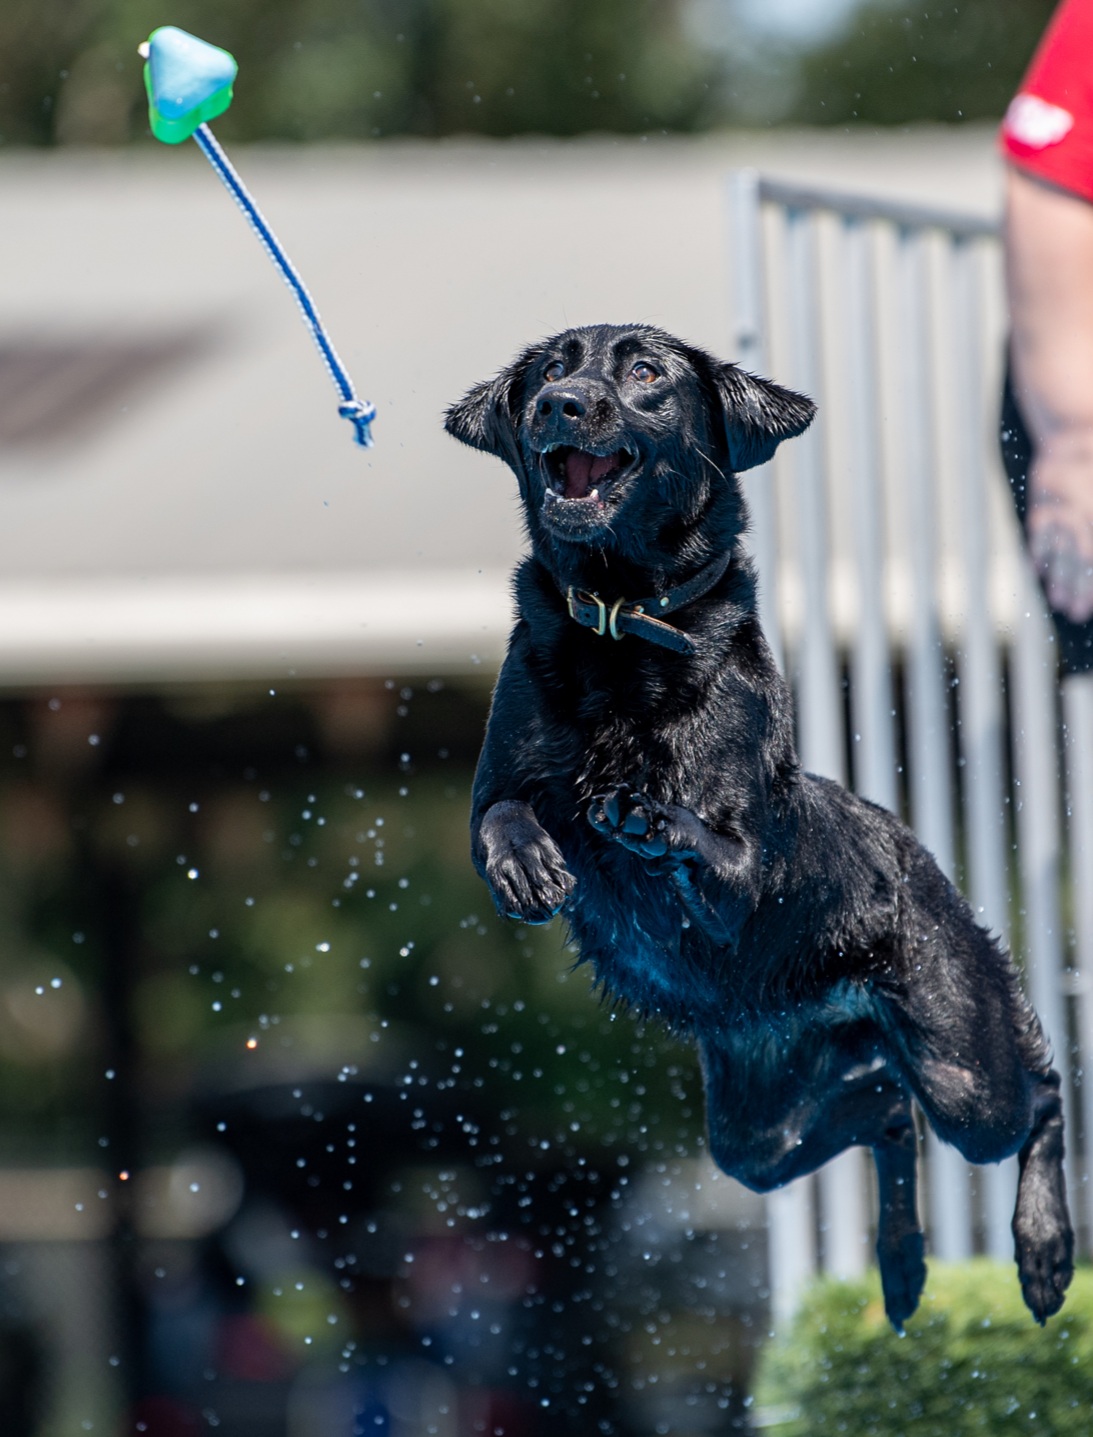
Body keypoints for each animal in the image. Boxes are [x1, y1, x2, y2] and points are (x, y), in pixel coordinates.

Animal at [445, 320, 1074, 1327]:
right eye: (549, 368)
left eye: (646, 371)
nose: (559, 405)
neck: (623, 624)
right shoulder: (497, 781)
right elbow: (501, 813)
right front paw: (530, 866)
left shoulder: (746, 868)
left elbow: (713, 844)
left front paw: (643, 815)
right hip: (757, 1122)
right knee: (881, 1110)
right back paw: (901, 1264)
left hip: (960, 1067)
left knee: (1034, 1097)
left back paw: (1044, 1254)